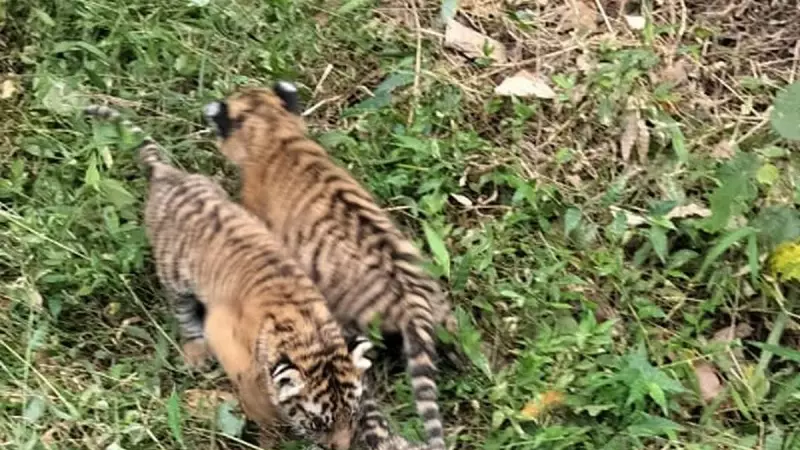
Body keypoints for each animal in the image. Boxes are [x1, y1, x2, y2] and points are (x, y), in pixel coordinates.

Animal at [84, 104, 374, 450]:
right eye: (318, 424)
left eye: (352, 414)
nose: (342, 446)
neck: (309, 330)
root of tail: (167, 174)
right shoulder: (228, 339)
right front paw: (270, 431)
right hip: (174, 274)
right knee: (183, 311)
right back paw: (196, 353)